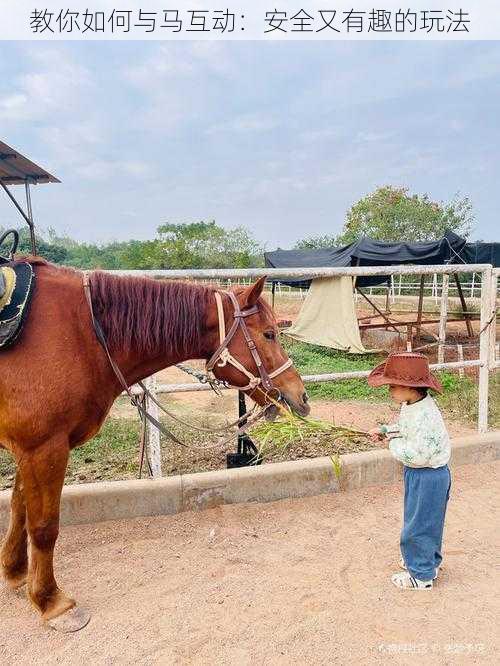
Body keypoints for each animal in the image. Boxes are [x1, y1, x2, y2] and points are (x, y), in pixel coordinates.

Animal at [0, 256, 310, 632]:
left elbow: (19, 509)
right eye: (269, 334)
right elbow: (44, 526)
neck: (81, 332)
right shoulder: (44, 447)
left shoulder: (28, 449)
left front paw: (15, 572)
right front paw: (52, 601)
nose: (301, 397)